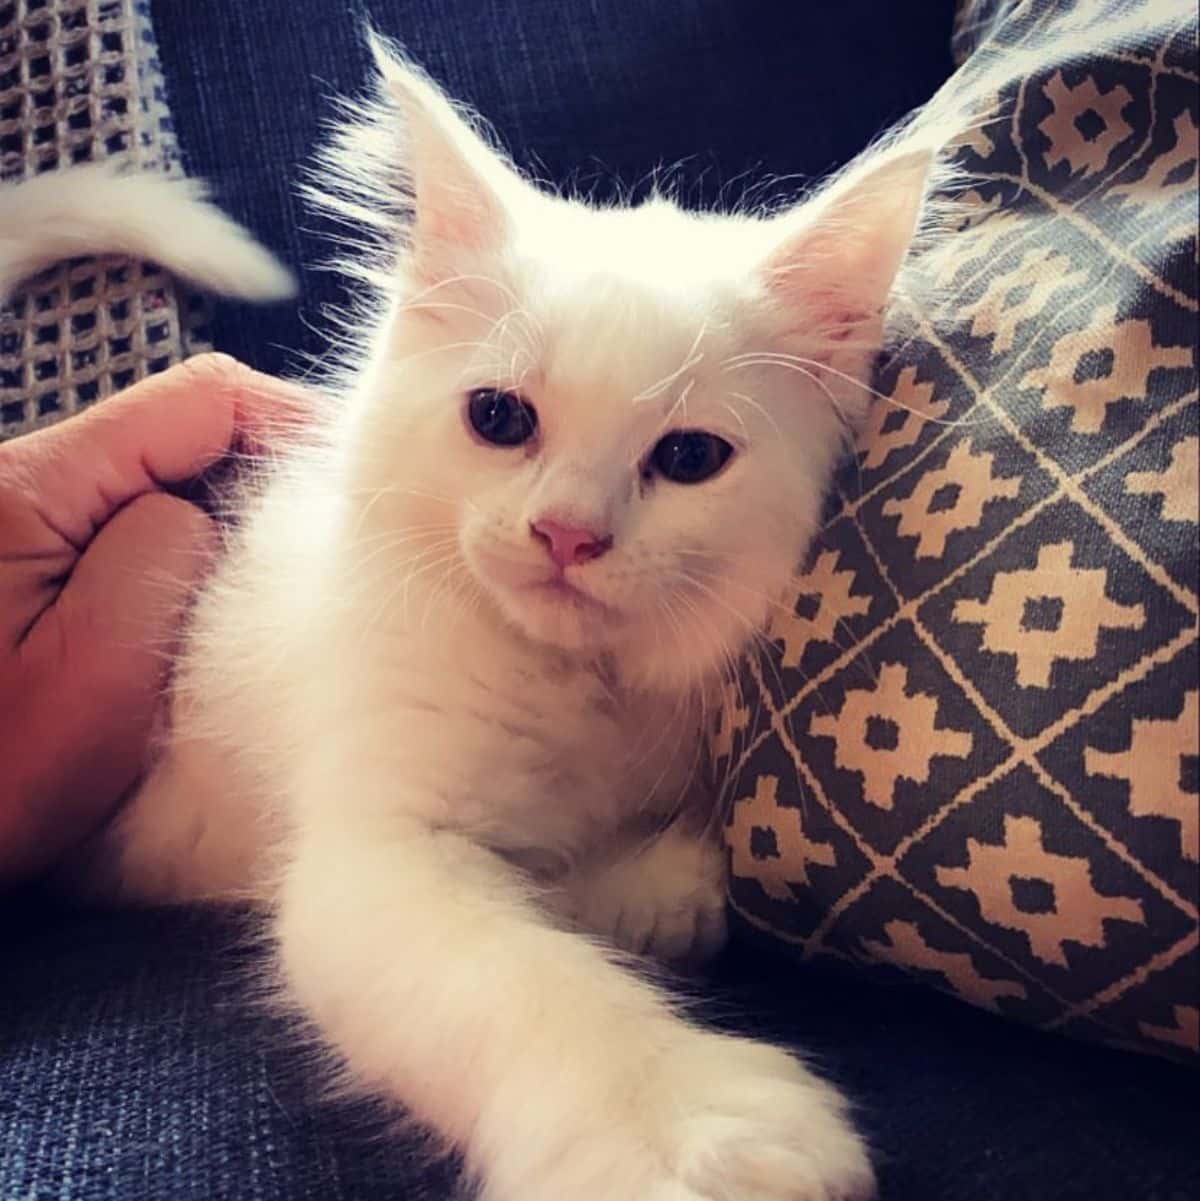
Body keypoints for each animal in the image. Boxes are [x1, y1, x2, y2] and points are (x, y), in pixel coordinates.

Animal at [91, 37, 936, 1201]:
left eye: (689, 457)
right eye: (499, 418)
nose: (567, 534)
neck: (583, 688)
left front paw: (658, 885)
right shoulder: (378, 850)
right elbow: (533, 979)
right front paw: (692, 1132)